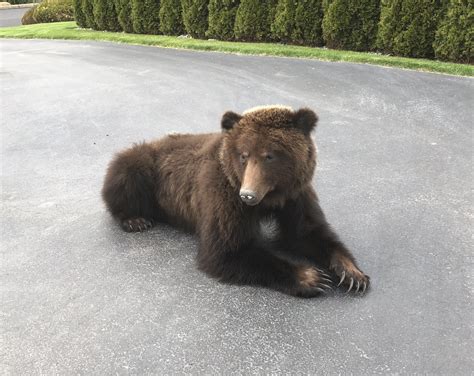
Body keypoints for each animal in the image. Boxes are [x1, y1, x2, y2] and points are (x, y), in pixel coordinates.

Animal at [102, 105, 370, 296]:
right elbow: (227, 250)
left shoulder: (295, 195)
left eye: (270, 156)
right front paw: (312, 277)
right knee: (127, 170)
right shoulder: (224, 194)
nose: (248, 195)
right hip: (146, 168)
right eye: (244, 155)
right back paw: (135, 219)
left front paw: (352, 274)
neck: (270, 199)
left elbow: (306, 232)